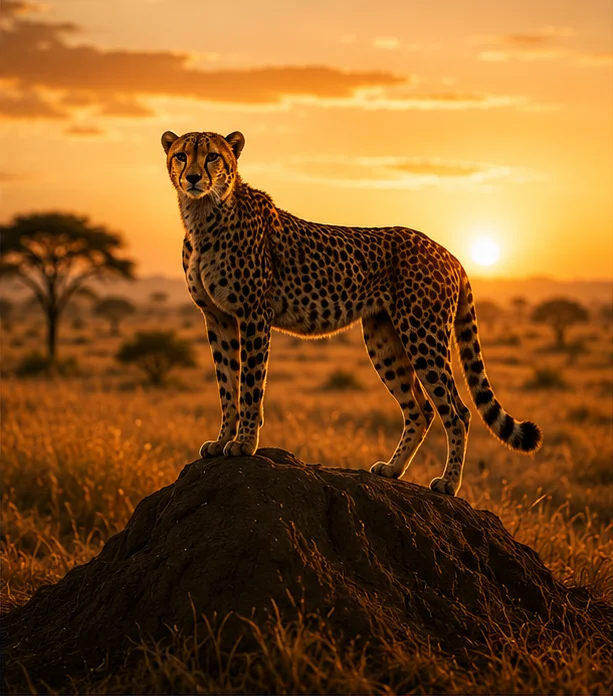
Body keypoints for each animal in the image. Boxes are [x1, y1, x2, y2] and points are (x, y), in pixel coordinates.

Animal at [161, 129, 542, 496]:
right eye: (181, 155)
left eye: (213, 156)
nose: (192, 177)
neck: (203, 216)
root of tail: (447, 252)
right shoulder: (218, 318)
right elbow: (226, 384)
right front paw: (223, 440)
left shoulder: (254, 314)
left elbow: (250, 385)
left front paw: (244, 443)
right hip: (383, 338)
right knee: (419, 409)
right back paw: (393, 469)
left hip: (423, 334)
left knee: (457, 411)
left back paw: (448, 484)